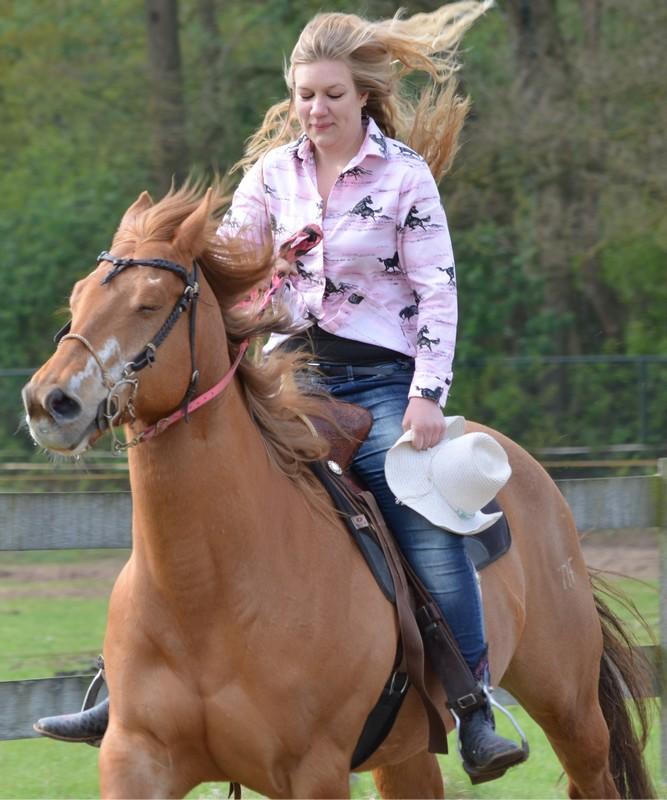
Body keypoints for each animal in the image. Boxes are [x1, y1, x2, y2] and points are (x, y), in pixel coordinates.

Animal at [22, 184, 655, 799]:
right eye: (77, 298)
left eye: (149, 303)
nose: (49, 402)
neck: (207, 594)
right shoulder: (136, 759)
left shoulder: (314, 770)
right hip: (406, 754)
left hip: (571, 709)